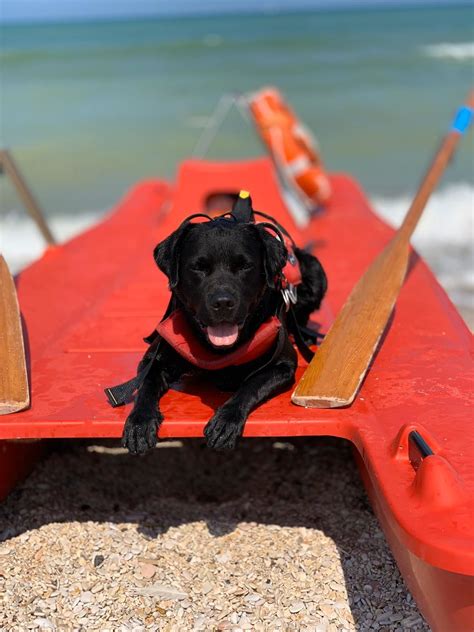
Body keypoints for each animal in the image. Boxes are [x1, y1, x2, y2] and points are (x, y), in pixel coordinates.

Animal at [120, 210, 326, 452]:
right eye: (198, 267)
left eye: (244, 266)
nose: (223, 302)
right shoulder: (154, 357)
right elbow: (146, 382)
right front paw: (140, 422)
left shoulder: (282, 364)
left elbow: (251, 384)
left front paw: (226, 420)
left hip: (315, 271)